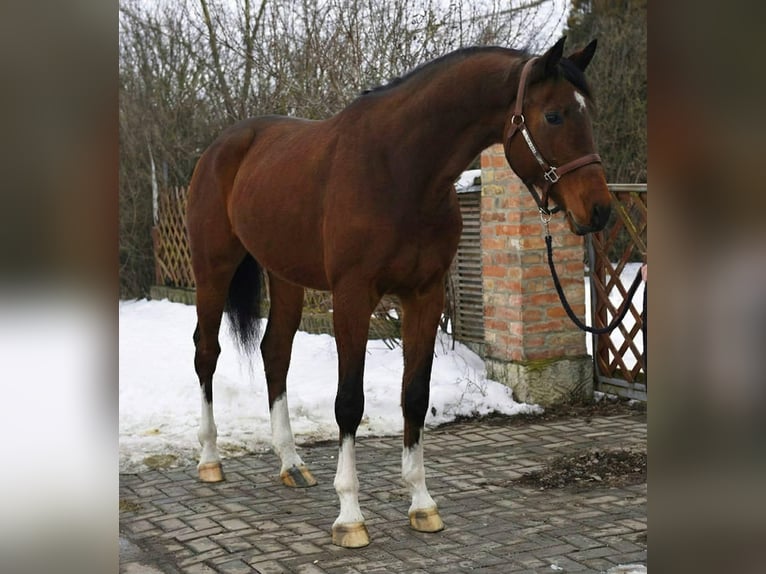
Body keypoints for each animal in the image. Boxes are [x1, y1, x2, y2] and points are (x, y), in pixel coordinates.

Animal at [185, 36, 610, 548]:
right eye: (554, 116)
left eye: (587, 114)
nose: (601, 210)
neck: (401, 170)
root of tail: (220, 148)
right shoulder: (352, 296)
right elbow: (349, 402)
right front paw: (350, 515)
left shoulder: (424, 296)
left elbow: (415, 395)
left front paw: (422, 504)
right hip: (213, 269)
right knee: (206, 352)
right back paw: (210, 460)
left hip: (285, 277)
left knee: (275, 353)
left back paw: (291, 463)